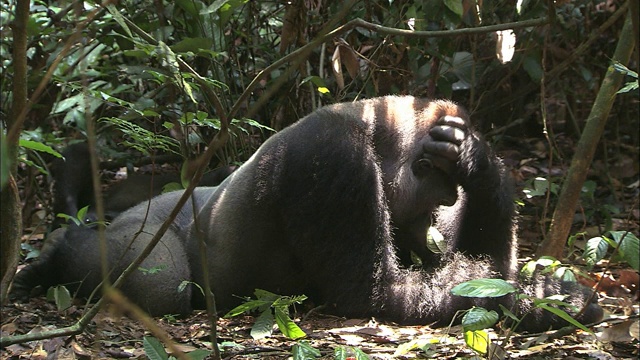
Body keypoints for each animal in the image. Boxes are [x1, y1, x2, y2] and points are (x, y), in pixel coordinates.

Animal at [11, 95, 600, 332]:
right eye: (436, 198)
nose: (437, 221)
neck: (378, 132)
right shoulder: (333, 158)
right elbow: (376, 293)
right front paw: (544, 297)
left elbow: (486, 257)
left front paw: (477, 161)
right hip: (145, 232)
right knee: (161, 283)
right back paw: (54, 258)